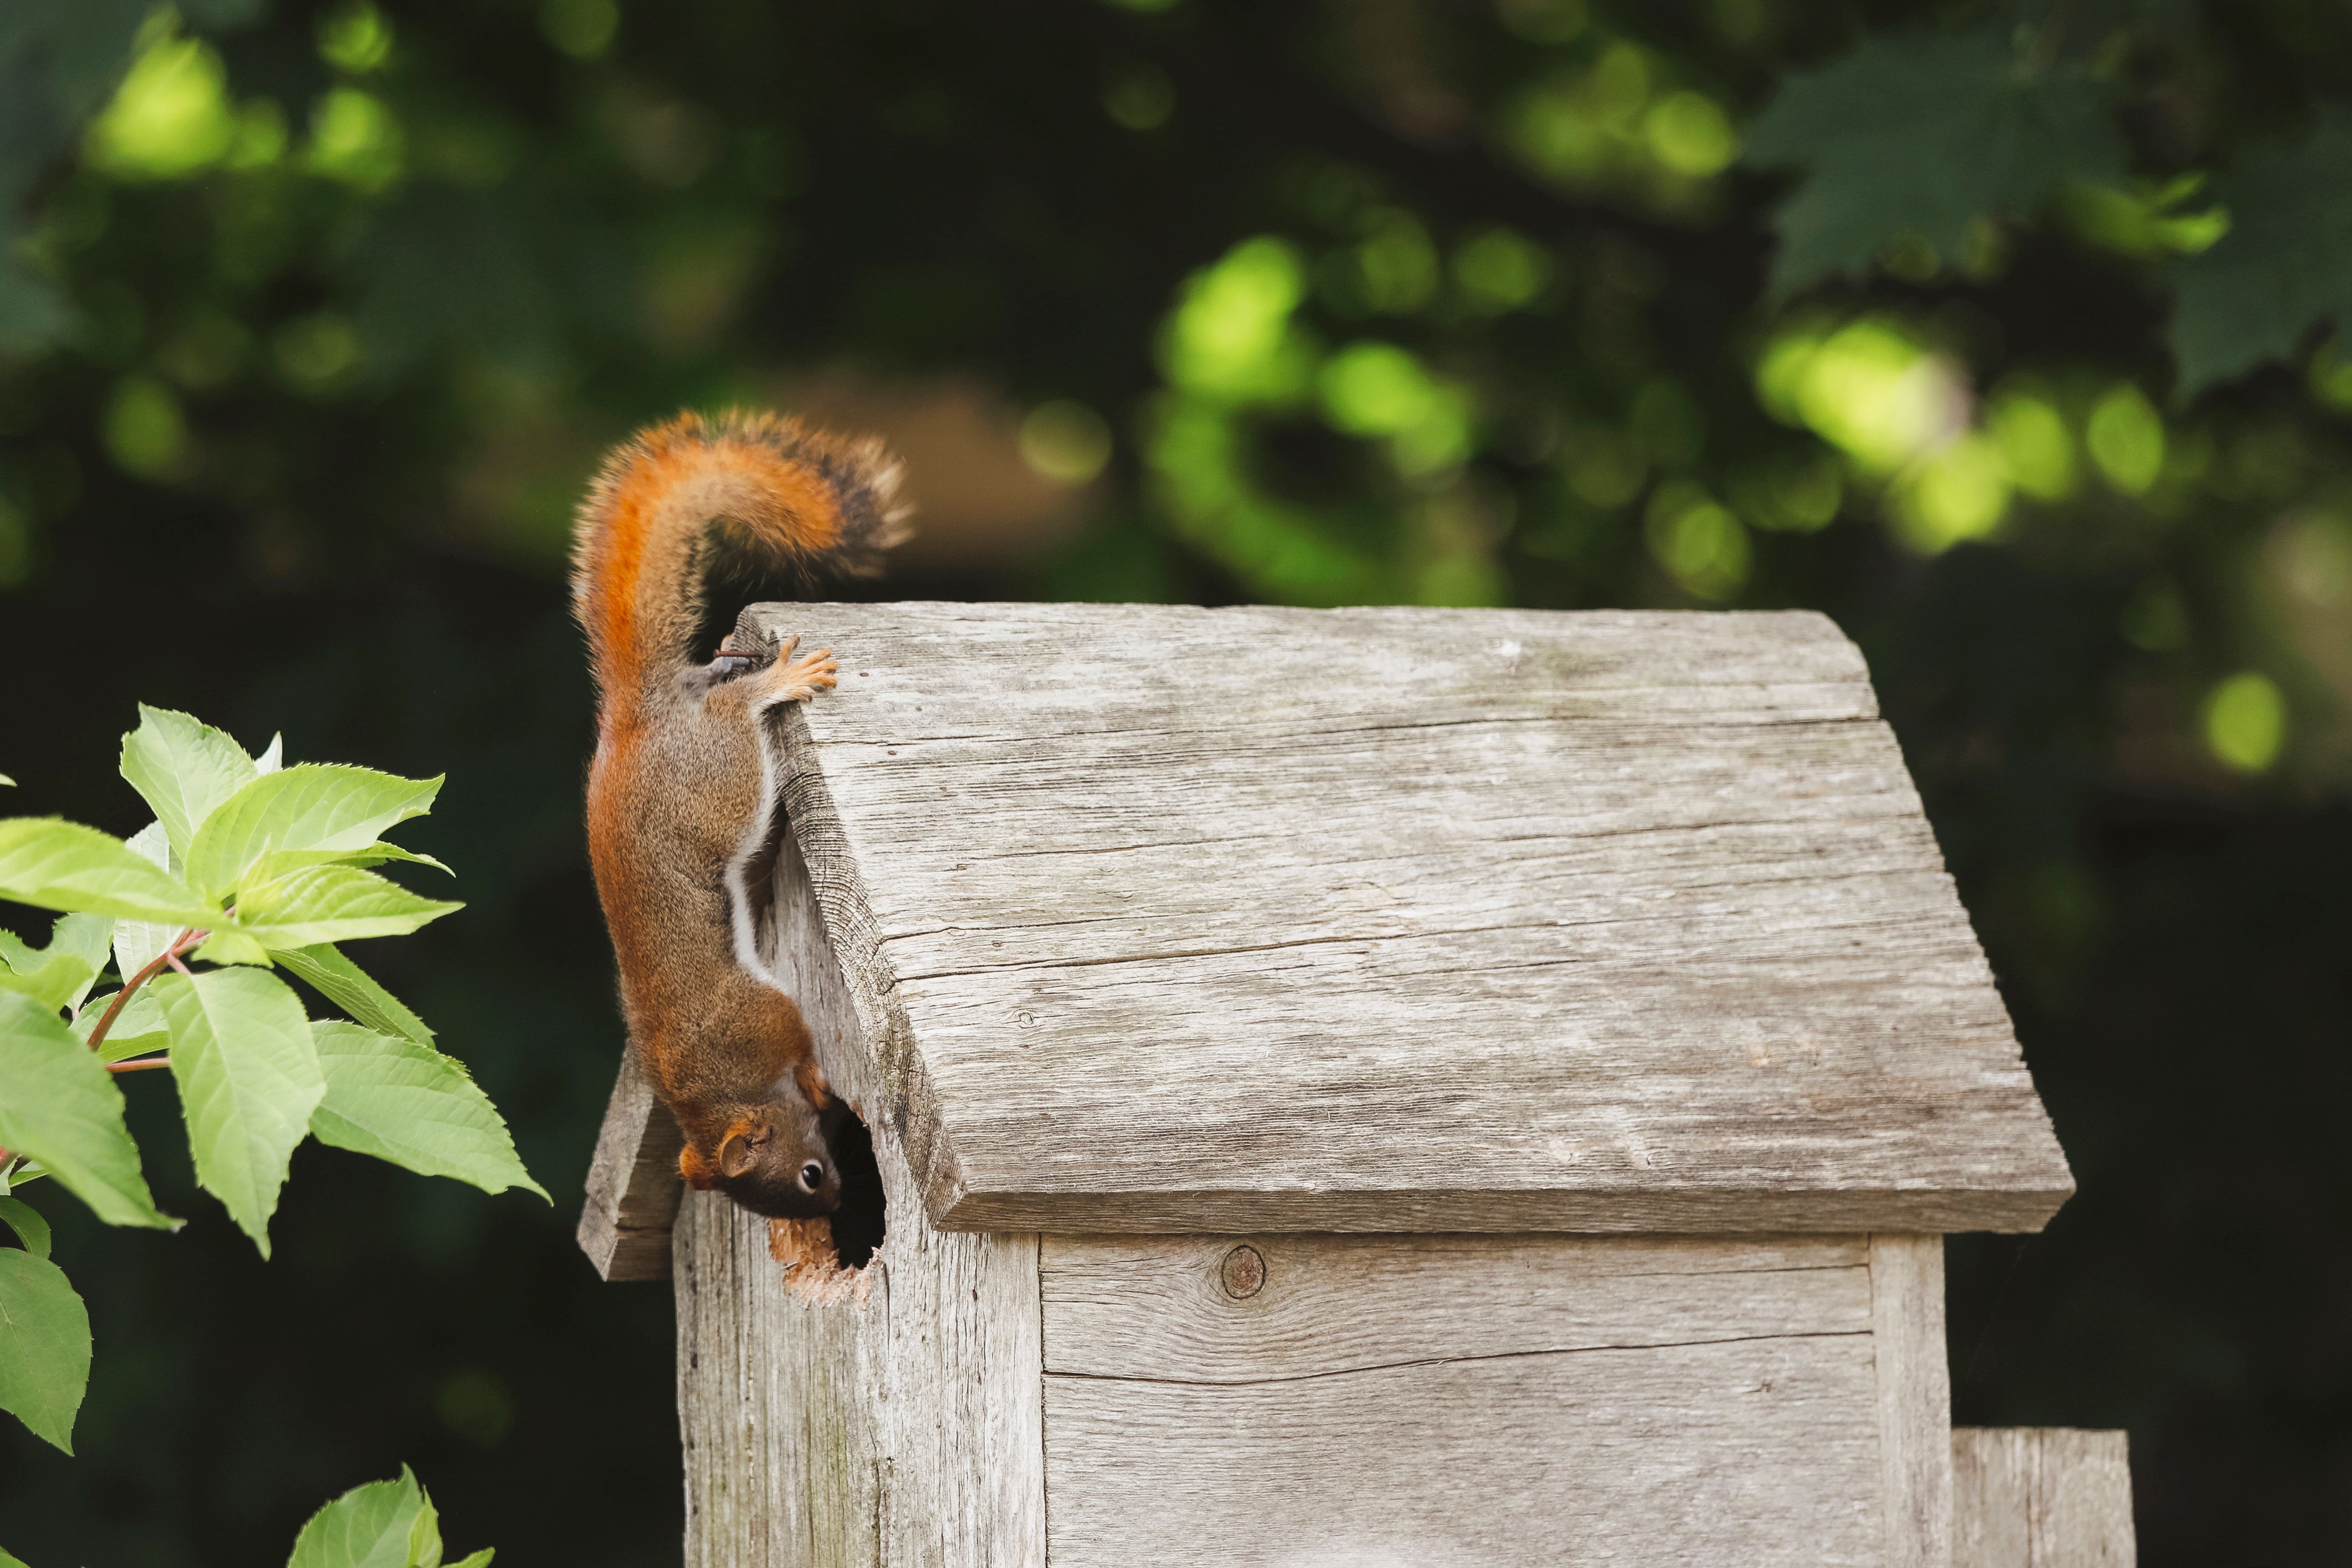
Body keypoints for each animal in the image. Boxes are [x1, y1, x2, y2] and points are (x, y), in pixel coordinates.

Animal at [570, 409, 907, 1219]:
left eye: (809, 1177)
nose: (839, 1204)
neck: (714, 1093)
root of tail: (633, 722)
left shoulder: (762, 1016)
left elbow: (802, 1043)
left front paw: (816, 1079)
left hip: (720, 779)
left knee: (734, 711)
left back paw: (770, 675)